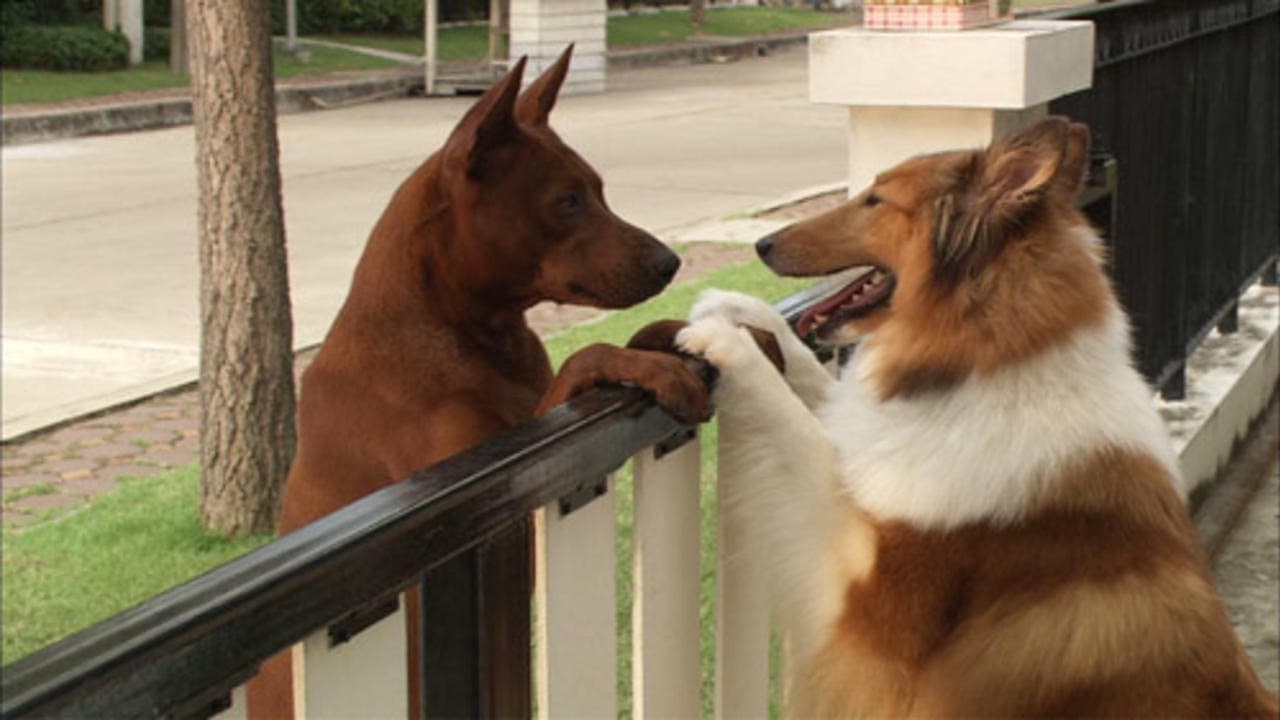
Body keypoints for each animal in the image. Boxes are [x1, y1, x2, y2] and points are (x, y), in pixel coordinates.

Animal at [245, 47, 711, 712]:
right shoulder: (492, 510)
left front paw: (674, 332)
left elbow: (634, 333)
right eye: (568, 200)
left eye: (599, 189)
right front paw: (650, 367)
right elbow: (587, 353)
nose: (669, 262)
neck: (472, 334)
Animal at [675, 117, 1274, 712]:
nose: (762, 244)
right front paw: (742, 309)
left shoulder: (868, 596)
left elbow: (796, 433)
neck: (994, 363)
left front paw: (727, 342)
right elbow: (813, 385)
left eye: (877, 200)